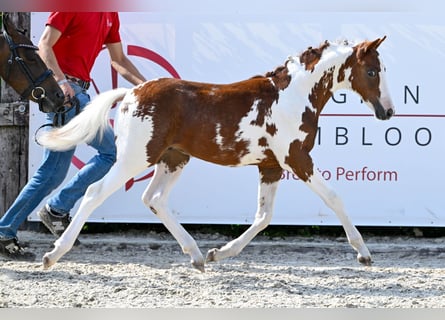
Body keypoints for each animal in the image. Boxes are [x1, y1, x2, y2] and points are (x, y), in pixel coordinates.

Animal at [37, 36, 392, 272]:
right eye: (373, 72)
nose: (387, 111)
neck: (291, 97)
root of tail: (131, 93)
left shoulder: (271, 166)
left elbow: (263, 217)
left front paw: (219, 253)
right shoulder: (296, 158)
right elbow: (334, 198)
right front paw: (363, 253)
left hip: (173, 158)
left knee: (154, 199)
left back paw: (196, 255)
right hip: (136, 157)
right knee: (95, 193)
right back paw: (53, 254)